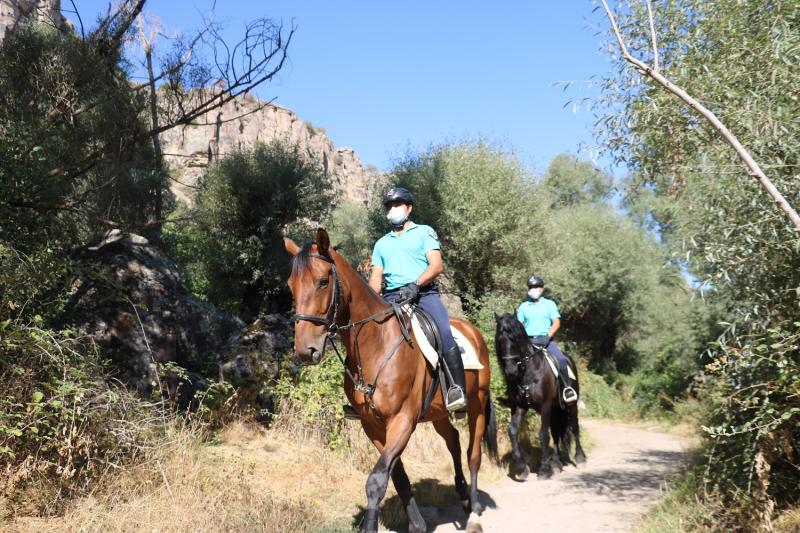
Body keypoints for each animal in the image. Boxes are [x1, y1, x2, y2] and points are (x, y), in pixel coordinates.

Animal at [284, 229, 496, 532]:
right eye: (291, 285)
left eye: (323, 281)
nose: (305, 350)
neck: (376, 345)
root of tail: (472, 330)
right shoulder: (372, 425)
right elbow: (397, 476)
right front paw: (417, 524)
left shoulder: (402, 420)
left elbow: (376, 480)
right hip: (438, 412)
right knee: (454, 441)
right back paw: (463, 494)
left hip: (477, 404)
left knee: (473, 453)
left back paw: (475, 511)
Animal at [490, 312, 584, 478]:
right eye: (500, 340)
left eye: (515, 338)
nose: (511, 371)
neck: (529, 372)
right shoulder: (520, 407)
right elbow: (512, 431)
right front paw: (522, 467)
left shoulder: (545, 406)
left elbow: (543, 435)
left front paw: (544, 469)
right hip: (556, 409)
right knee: (556, 432)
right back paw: (557, 462)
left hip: (570, 405)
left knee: (574, 427)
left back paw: (579, 458)